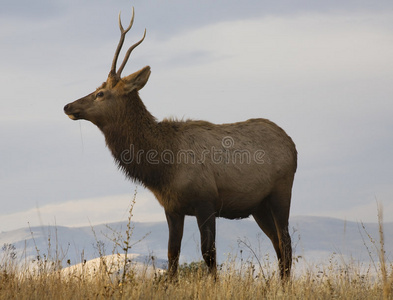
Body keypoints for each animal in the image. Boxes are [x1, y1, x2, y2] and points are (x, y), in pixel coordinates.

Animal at [64, 7, 298, 280]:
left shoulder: (206, 201)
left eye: (101, 93)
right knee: (278, 244)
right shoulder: (172, 207)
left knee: (286, 242)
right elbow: (172, 255)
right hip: (258, 206)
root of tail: (293, 145)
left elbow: (208, 253)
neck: (163, 167)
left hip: (281, 192)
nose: (67, 106)